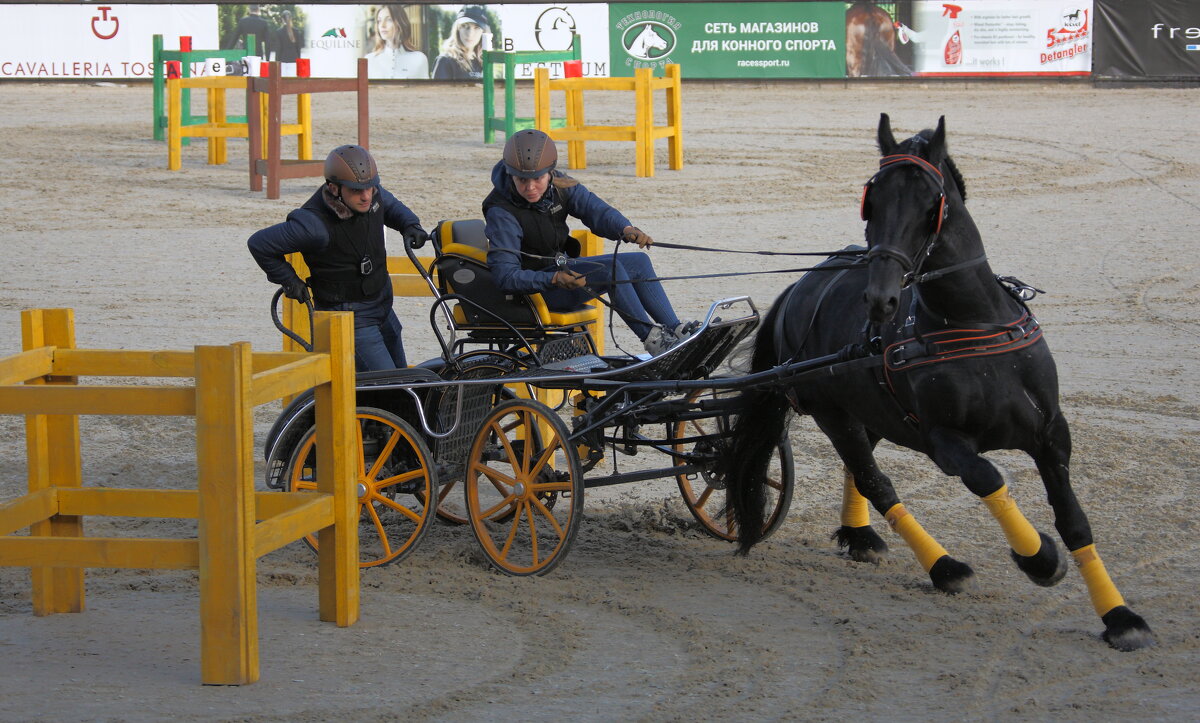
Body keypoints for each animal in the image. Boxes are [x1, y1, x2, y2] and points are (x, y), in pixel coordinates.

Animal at [724, 115, 1156, 648]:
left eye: (932, 204)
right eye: (872, 199)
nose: (881, 299)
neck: (971, 323)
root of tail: (801, 285)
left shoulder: (1052, 433)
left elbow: (1075, 521)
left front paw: (1120, 615)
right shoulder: (943, 441)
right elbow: (988, 477)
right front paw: (1038, 557)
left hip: (870, 411)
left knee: (860, 472)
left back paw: (862, 537)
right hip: (833, 413)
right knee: (876, 480)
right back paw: (944, 566)